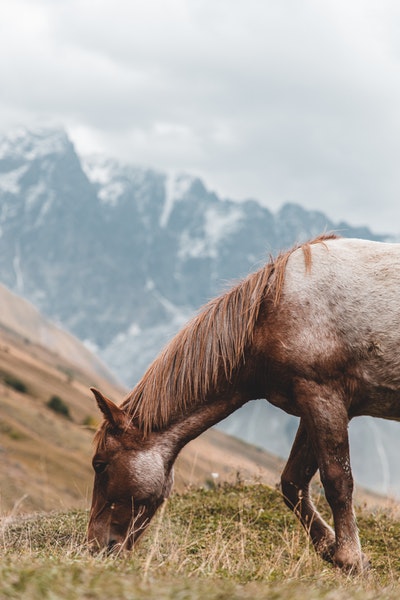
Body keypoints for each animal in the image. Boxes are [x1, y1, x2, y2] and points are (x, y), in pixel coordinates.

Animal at [87, 233, 400, 572]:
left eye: (99, 464)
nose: (95, 546)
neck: (270, 312)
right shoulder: (312, 404)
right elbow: (292, 483)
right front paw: (330, 546)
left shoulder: (324, 397)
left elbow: (337, 480)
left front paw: (349, 557)